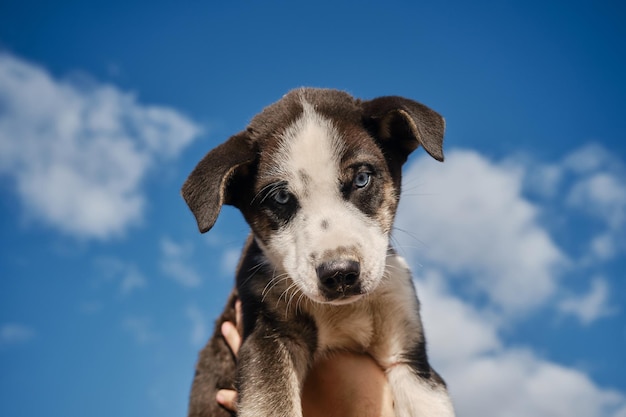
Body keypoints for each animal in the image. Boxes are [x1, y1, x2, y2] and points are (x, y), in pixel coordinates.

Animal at [182, 88, 454, 416]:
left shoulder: (409, 357)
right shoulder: (267, 339)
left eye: (361, 179)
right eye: (281, 197)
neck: (344, 310)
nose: (340, 274)